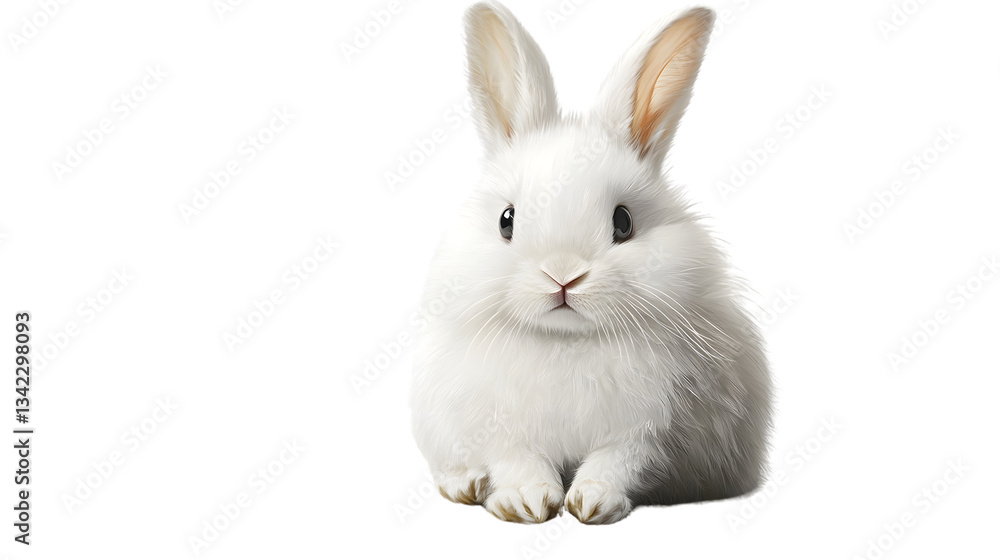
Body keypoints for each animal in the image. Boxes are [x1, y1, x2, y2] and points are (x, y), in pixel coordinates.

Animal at [410, 1, 772, 525]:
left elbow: (616, 461)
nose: (563, 277)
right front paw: (525, 502)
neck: (565, 342)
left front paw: (592, 502)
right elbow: (516, 460)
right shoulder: (498, 427)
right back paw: (465, 484)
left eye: (623, 221)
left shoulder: (648, 433)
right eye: (506, 220)